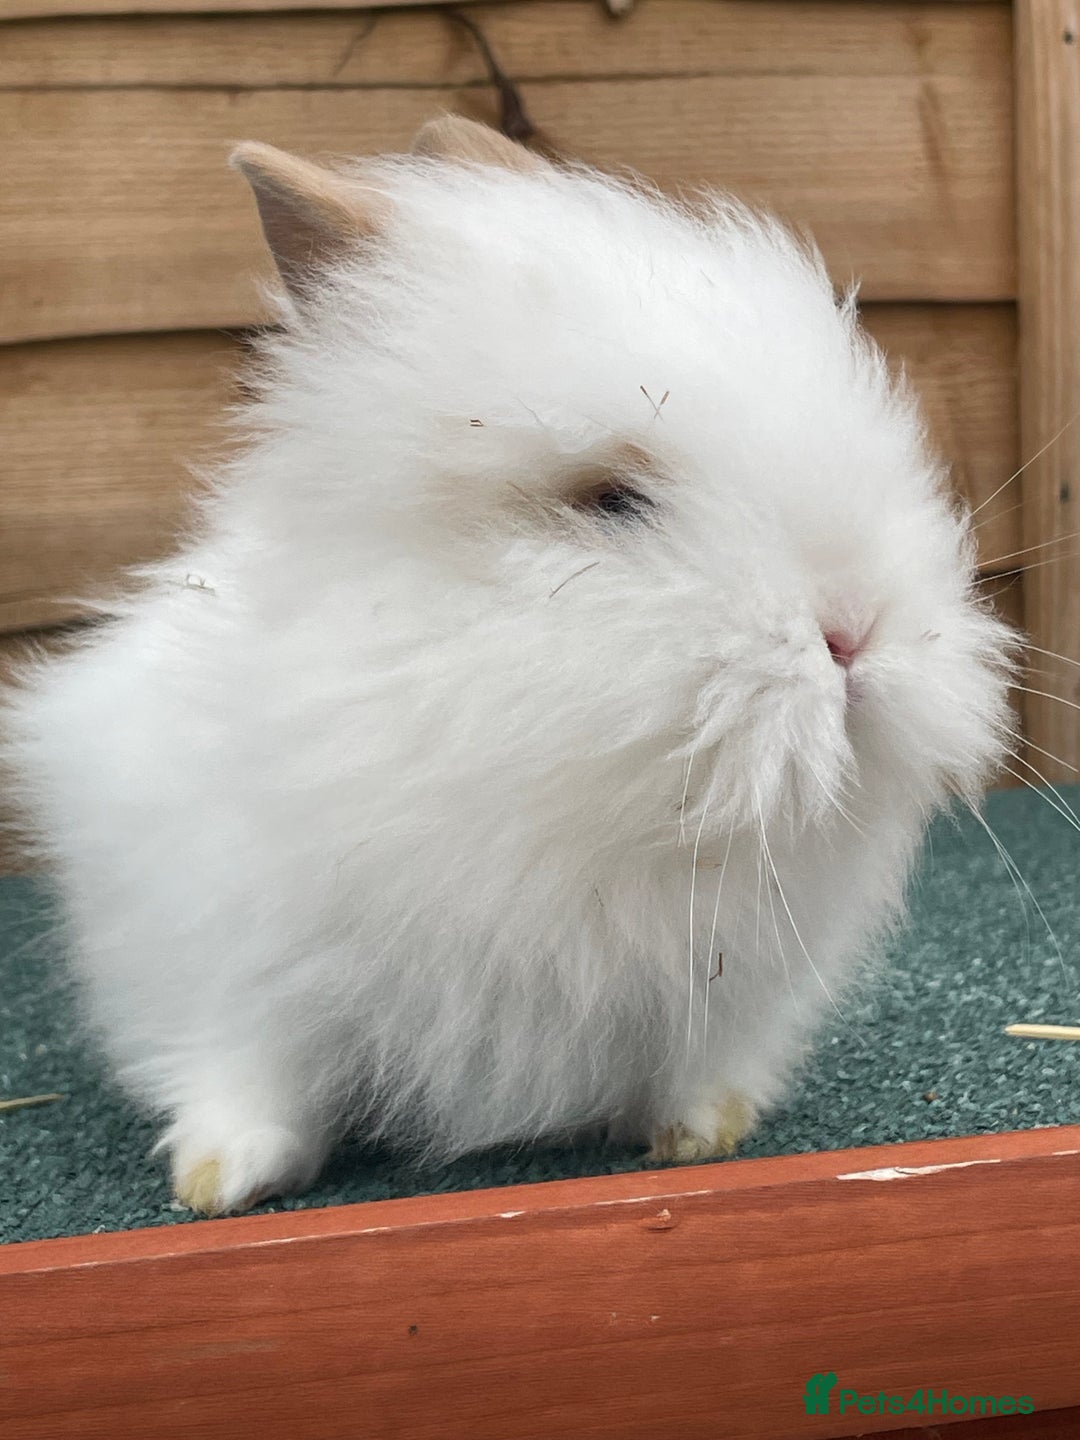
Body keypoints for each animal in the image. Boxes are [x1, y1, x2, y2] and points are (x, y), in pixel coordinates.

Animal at [3, 116, 1013, 1215]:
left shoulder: (733, 984)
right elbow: (253, 1073)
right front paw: (221, 1179)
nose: (856, 632)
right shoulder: (230, 954)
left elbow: (702, 1065)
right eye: (612, 502)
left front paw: (699, 1134)